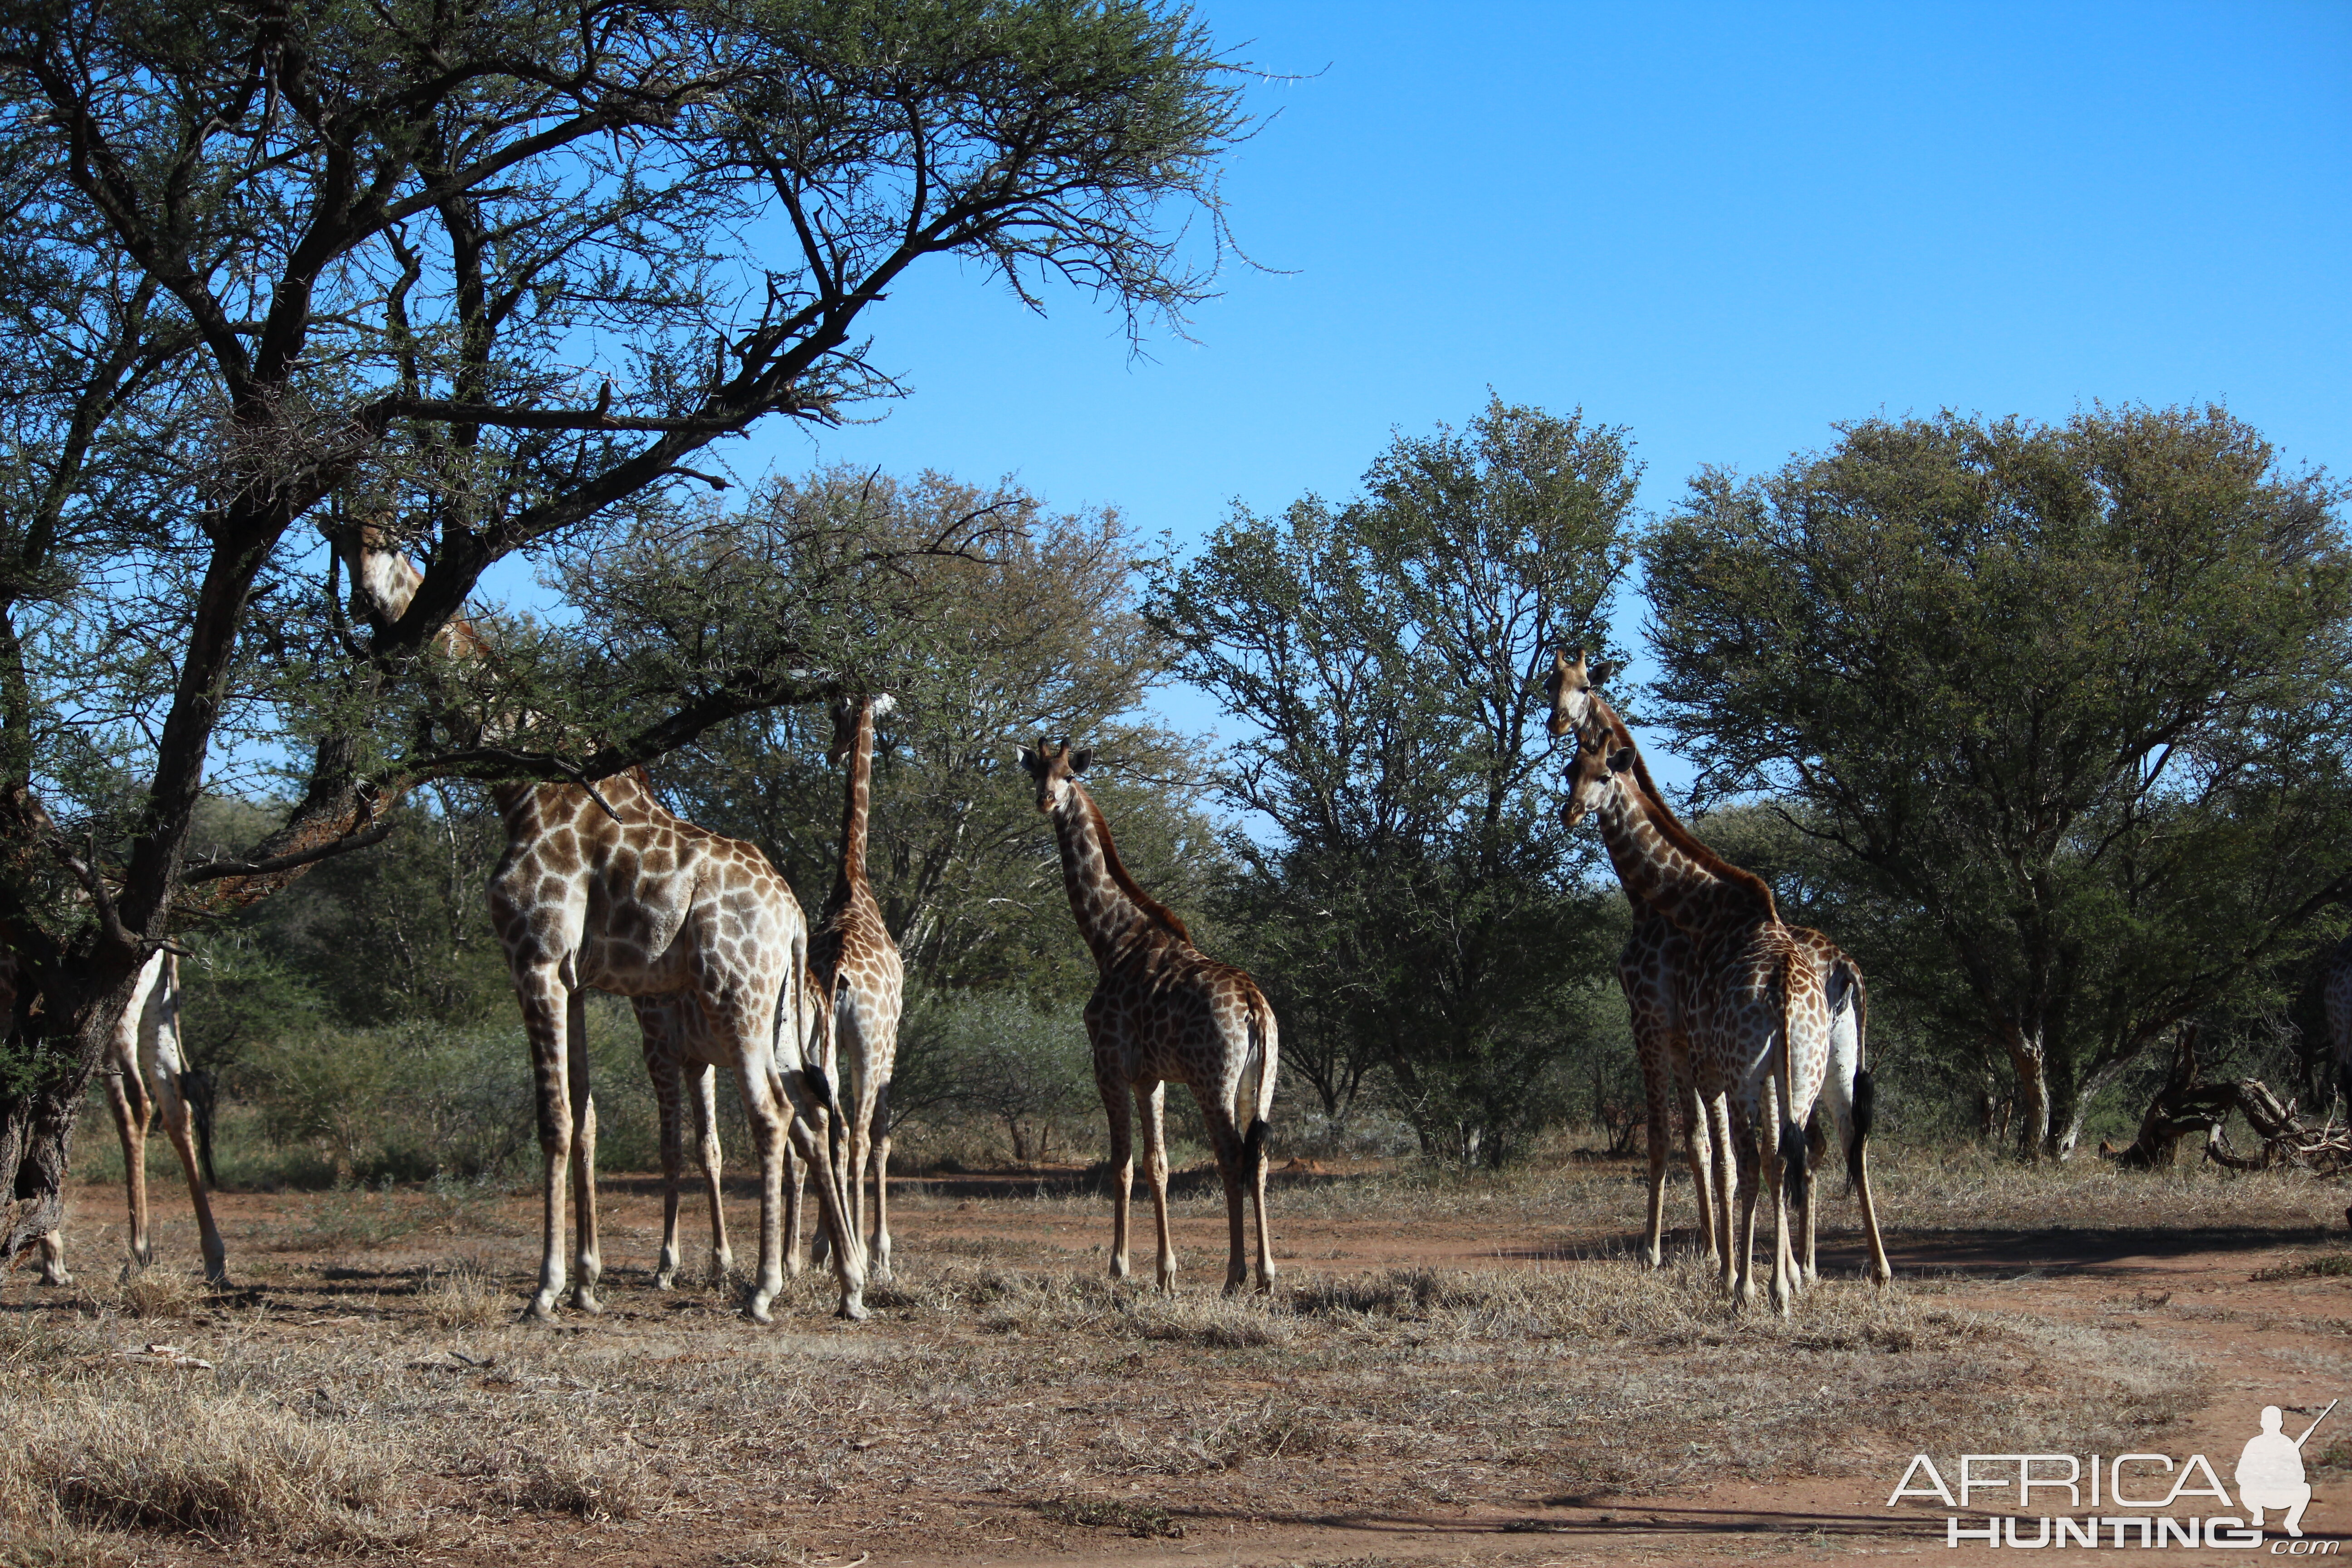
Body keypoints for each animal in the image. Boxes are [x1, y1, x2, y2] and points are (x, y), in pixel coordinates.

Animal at [336, 526, 870, 1326]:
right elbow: (586, 1119)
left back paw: (765, 1289)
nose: (373, 608)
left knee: (776, 1117)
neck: (522, 792)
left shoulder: (533, 961)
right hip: (775, 1016)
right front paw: (586, 1283)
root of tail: (794, 917)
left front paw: (546, 1290)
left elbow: (555, 1120)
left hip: (738, 996)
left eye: (385, 542)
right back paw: (849, 1287)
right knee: (811, 1123)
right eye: (345, 536)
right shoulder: (576, 981)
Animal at [1020, 743, 1279, 1298]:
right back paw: (1267, 1276)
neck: (1111, 940)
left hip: (1211, 1081)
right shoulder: (1150, 1077)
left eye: (1069, 776)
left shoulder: (1110, 1066)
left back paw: (1234, 1276)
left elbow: (1121, 1164)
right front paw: (1165, 1274)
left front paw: (1119, 1266)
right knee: (1260, 1156)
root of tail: (1254, 1005)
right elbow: (1156, 1165)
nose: (1046, 801)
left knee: (1231, 1157)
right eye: (1037, 774)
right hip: (1261, 1080)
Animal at [1562, 724, 1834, 1316]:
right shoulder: (1723, 1058)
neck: (1699, 906)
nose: (1570, 811)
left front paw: (1667, 1256)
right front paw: (1748, 1269)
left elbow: (1686, 1144)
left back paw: (1756, 1286)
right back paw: (1784, 1282)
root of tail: (1786, 989)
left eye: (1605, 775)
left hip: (1745, 1074)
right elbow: (1733, 1154)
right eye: (1570, 771)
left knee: (1756, 1159)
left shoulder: (1677, 1038)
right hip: (1801, 1074)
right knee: (1789, 1157)